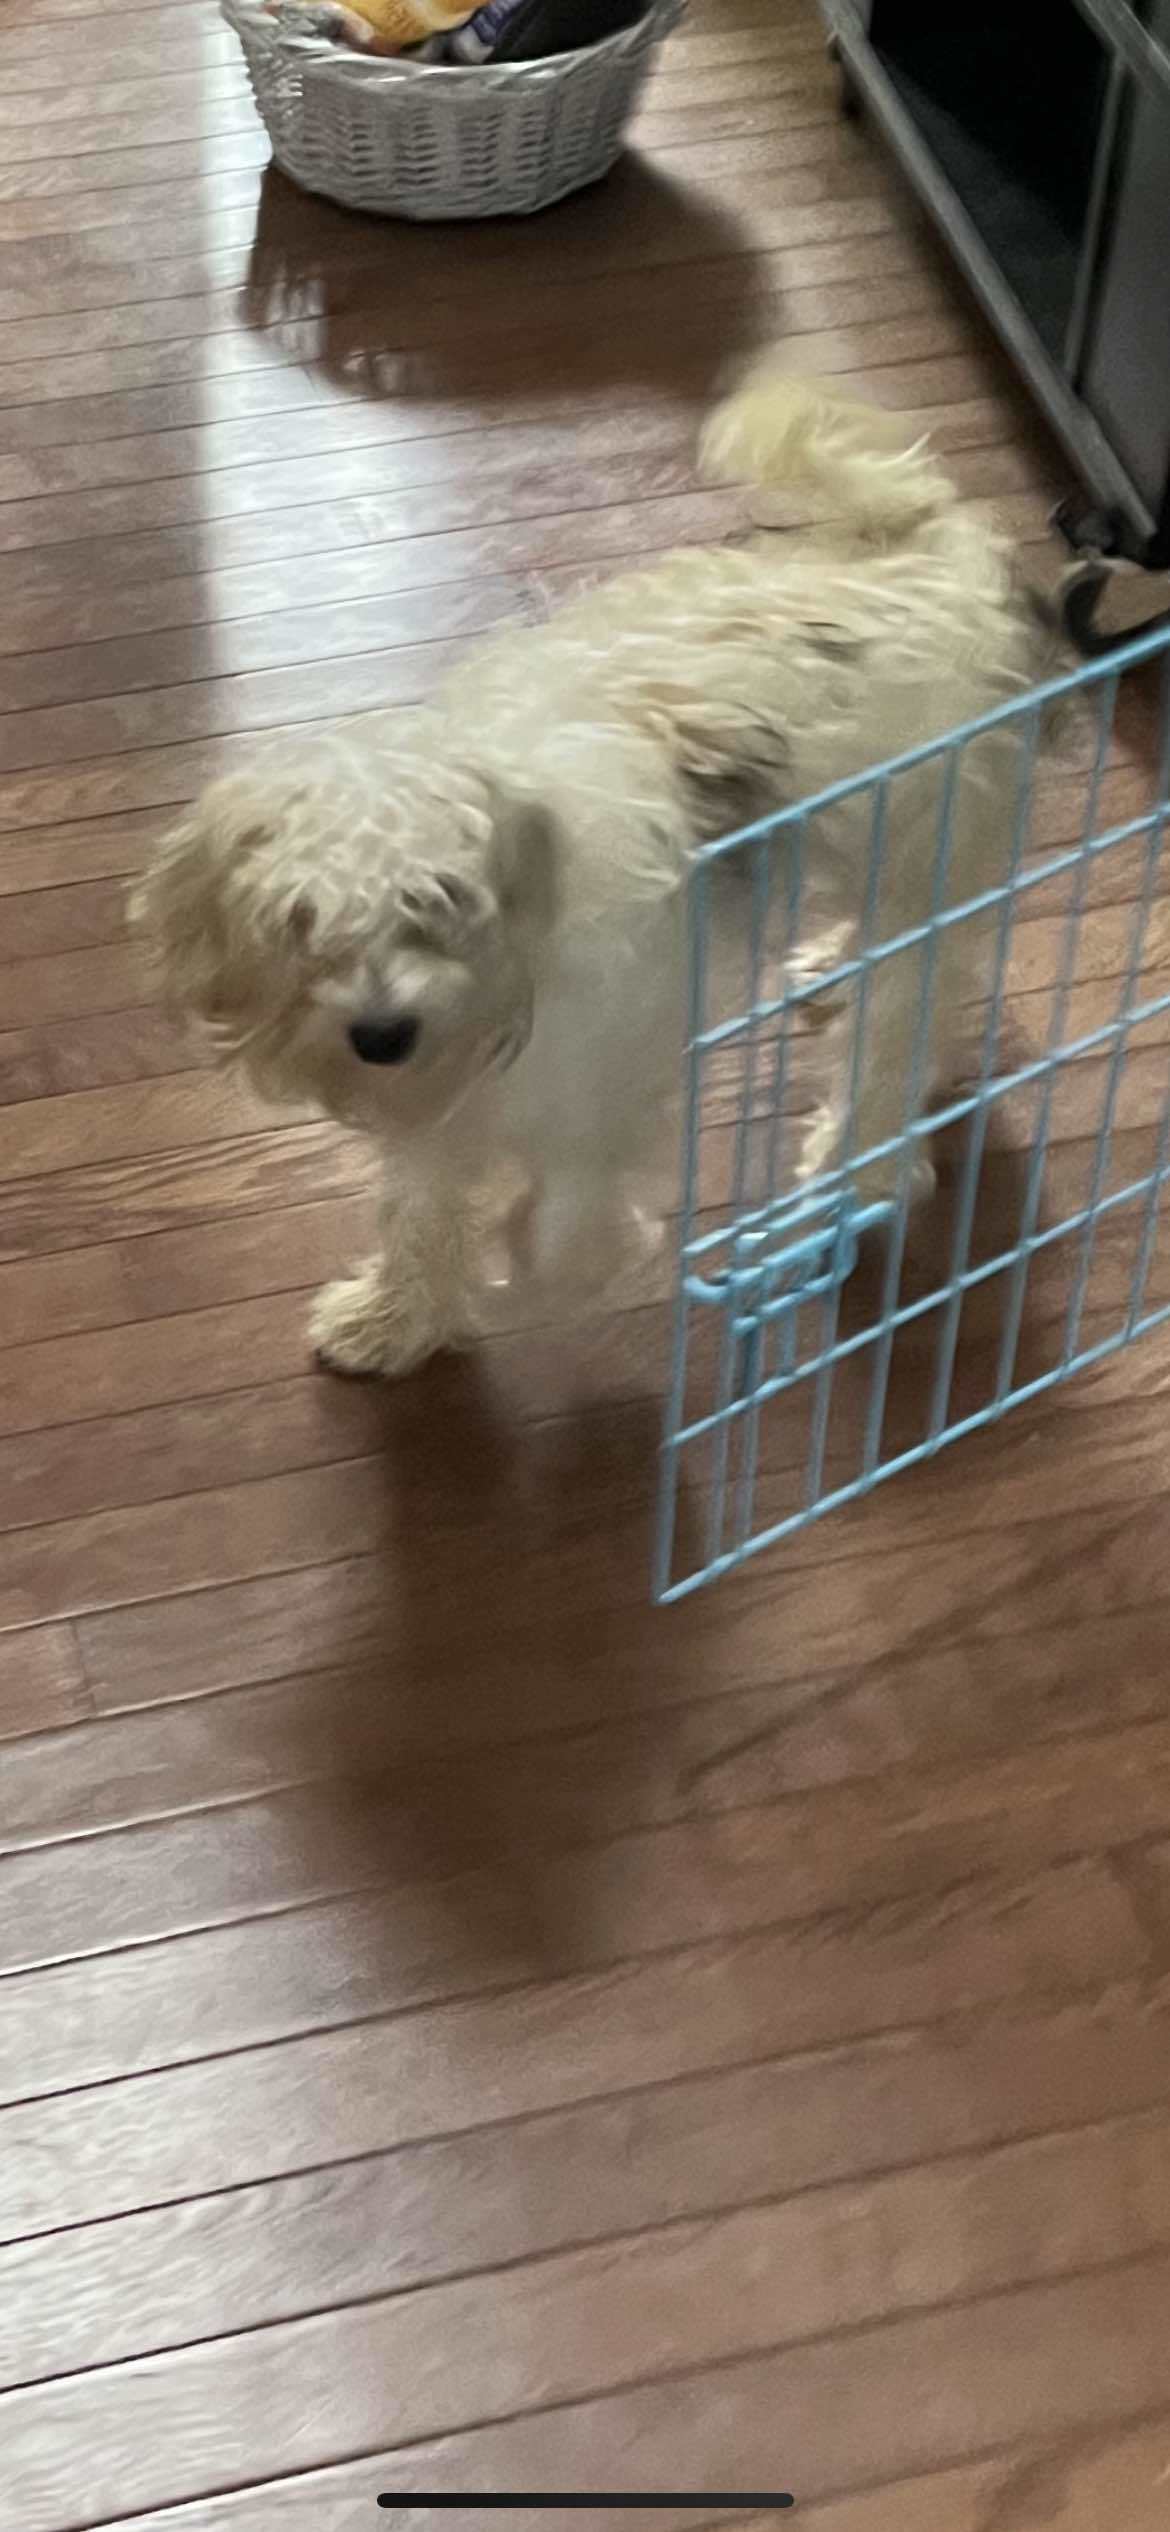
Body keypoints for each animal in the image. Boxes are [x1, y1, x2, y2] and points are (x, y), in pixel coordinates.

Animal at [134, 367, 1053, 1377]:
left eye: (440, 899)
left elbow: (566, 1222)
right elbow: (419, 1208)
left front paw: (545, 1271)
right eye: (302, 922)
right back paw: (829, 968)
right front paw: (397, 1319)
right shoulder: (448, 1097)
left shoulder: (601, 1078)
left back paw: (865, 1167)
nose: (381, 1033)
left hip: (927, 863)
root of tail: (928, 553)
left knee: (900, 1029)